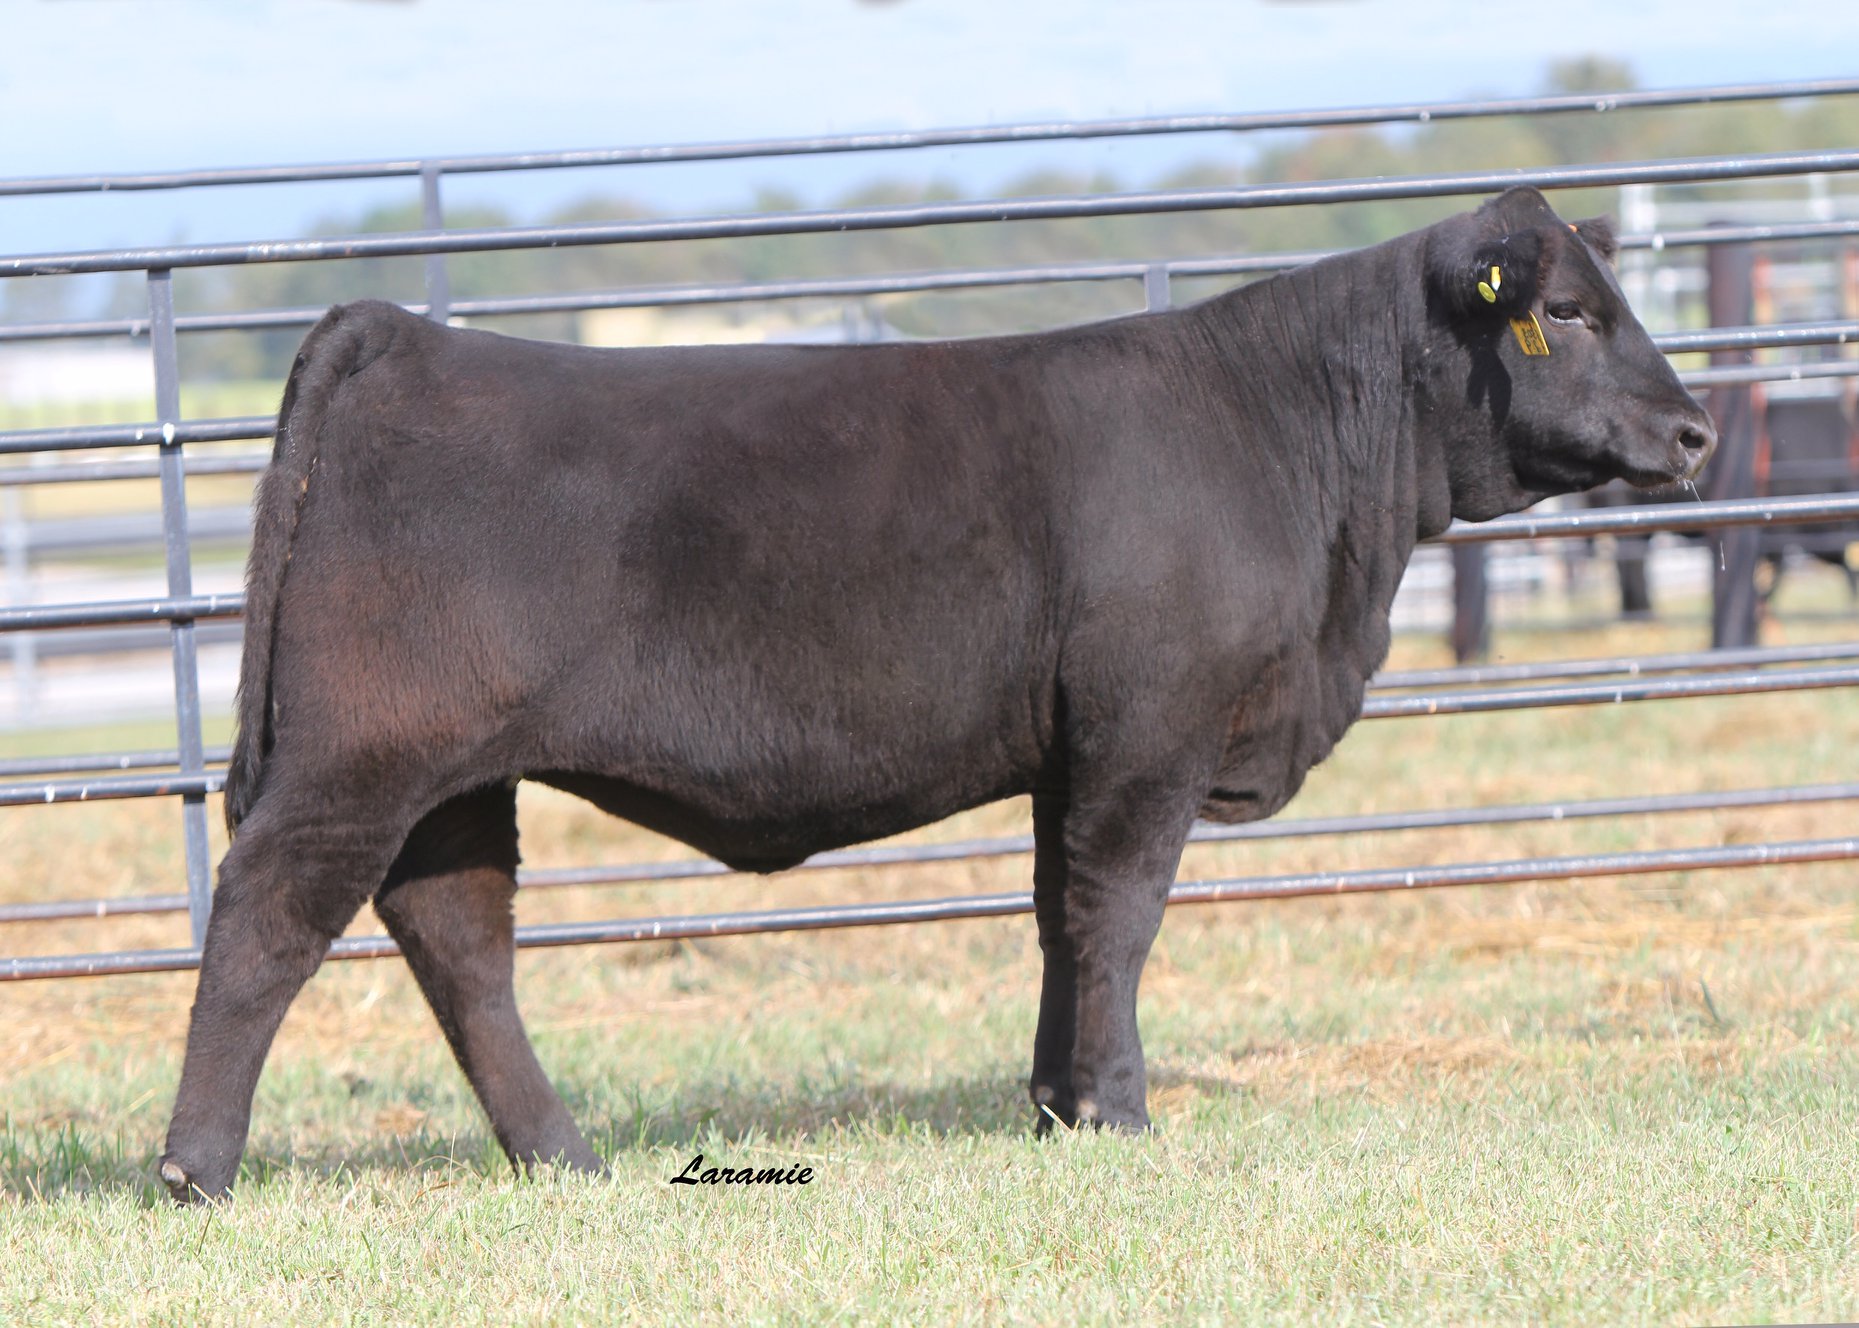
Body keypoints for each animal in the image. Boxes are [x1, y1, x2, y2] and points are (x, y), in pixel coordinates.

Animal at [157, 186, 1715, 1202]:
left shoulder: (1071, 749)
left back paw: (564, 1157)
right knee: (270, 915)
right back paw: (196, 1168)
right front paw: (1120, 1113)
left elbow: (1056, 918)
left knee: (457, 938)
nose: (1694, 431)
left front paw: (1054, 1106)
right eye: (1566, 311)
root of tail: (403, 333)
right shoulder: (1146, 731)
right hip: (365, 752)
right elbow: (1118, 914)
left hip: (456, 774)